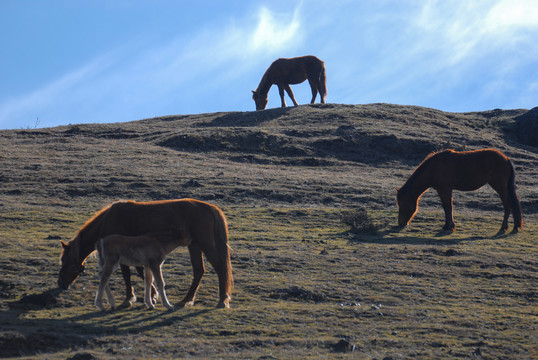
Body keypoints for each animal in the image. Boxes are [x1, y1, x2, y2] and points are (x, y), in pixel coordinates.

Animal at [58, 198, 232, 308]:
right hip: (194, 245)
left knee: (220, 268)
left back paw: (222, 300)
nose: (61, 284)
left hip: (204, 244)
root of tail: (211, 208)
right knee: (199, 271)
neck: (109, 220)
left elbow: (129, 274)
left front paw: (131, 298)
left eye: (66, 262)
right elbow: (142, 273)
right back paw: (186, 300)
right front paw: (152, 296)